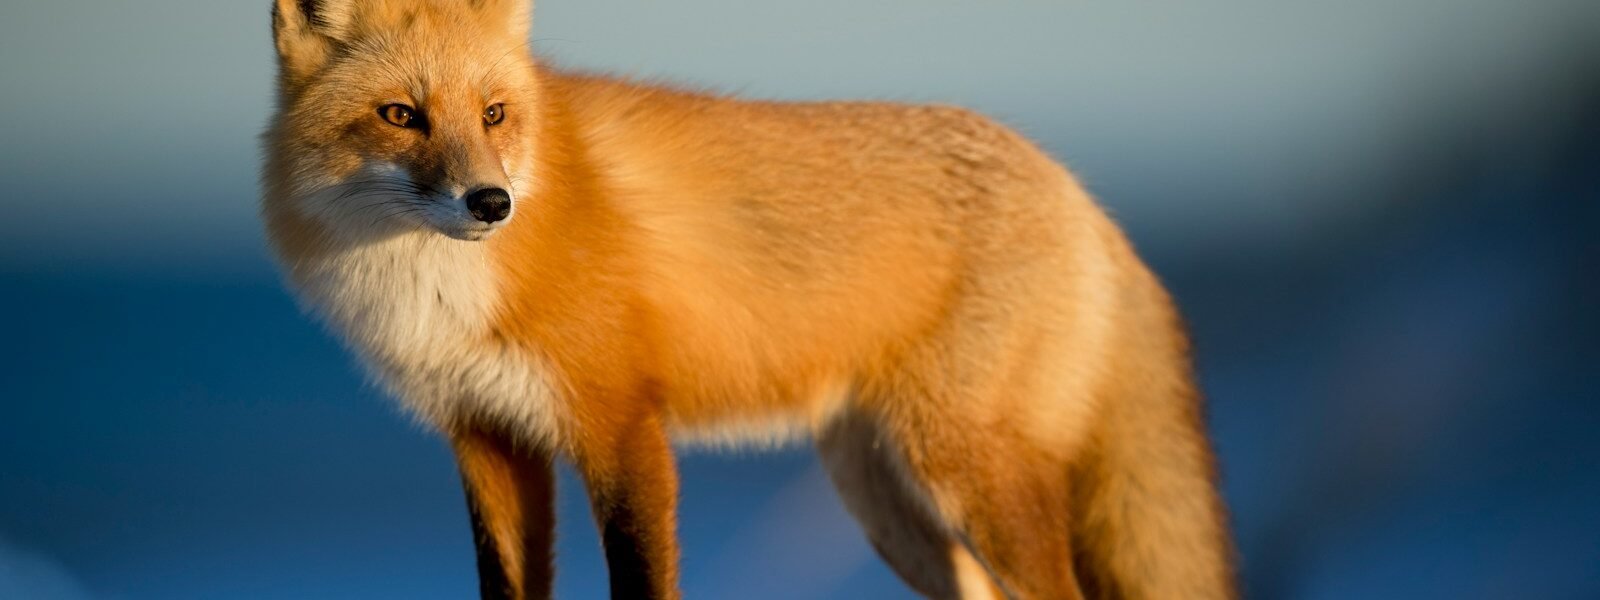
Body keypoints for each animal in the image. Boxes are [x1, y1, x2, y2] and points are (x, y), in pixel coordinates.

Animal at [262, 0, 1235, 598]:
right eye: (401, 116)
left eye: (495, 114)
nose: (491, 202)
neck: (441, 297)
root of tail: (1080, 193)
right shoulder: (487, 439)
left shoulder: (622, 426)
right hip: (888, 503)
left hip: (968, 475)